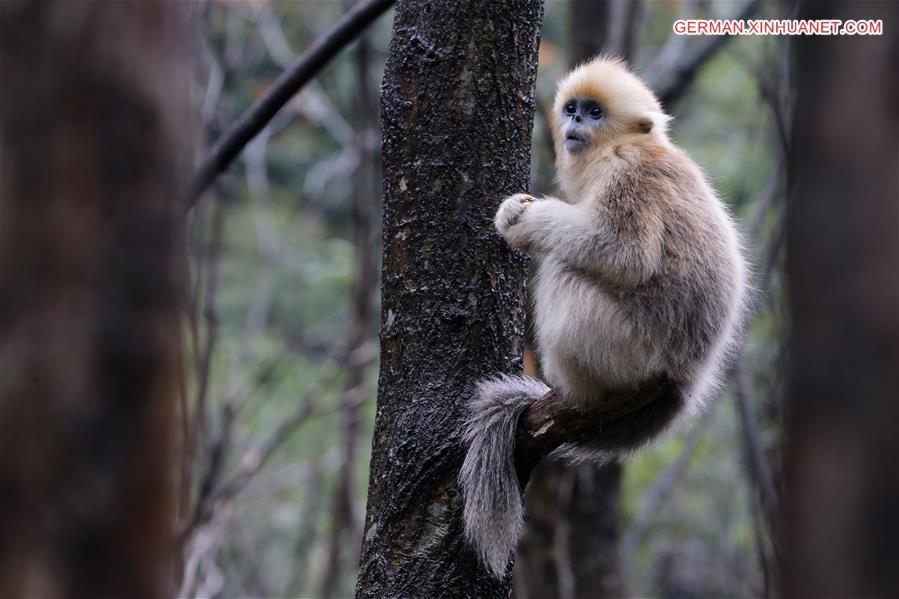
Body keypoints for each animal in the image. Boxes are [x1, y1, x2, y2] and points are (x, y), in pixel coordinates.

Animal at [459, 57, 750, 578]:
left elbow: (625, 253)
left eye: (595, 113)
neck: (629, 146)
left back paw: (571, 390)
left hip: (625, 348)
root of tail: (683, 381)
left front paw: (522, 220)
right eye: (573, 109)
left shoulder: (626, 175)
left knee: (562, 268)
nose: (575, 122)